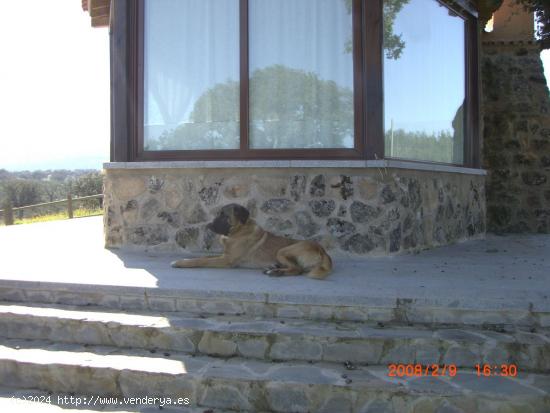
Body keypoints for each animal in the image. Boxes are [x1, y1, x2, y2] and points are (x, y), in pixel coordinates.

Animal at [172, 201, 334, 278]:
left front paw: (180, 263)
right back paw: (274, 267)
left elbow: (201, 260)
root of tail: (322, 250)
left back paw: (276, 272)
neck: (238, 231)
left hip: (283, 250)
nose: (209, 225)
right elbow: (203, 256)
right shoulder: (224, 255)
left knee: (297, 269)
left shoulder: (227, 260)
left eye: (224, 215)